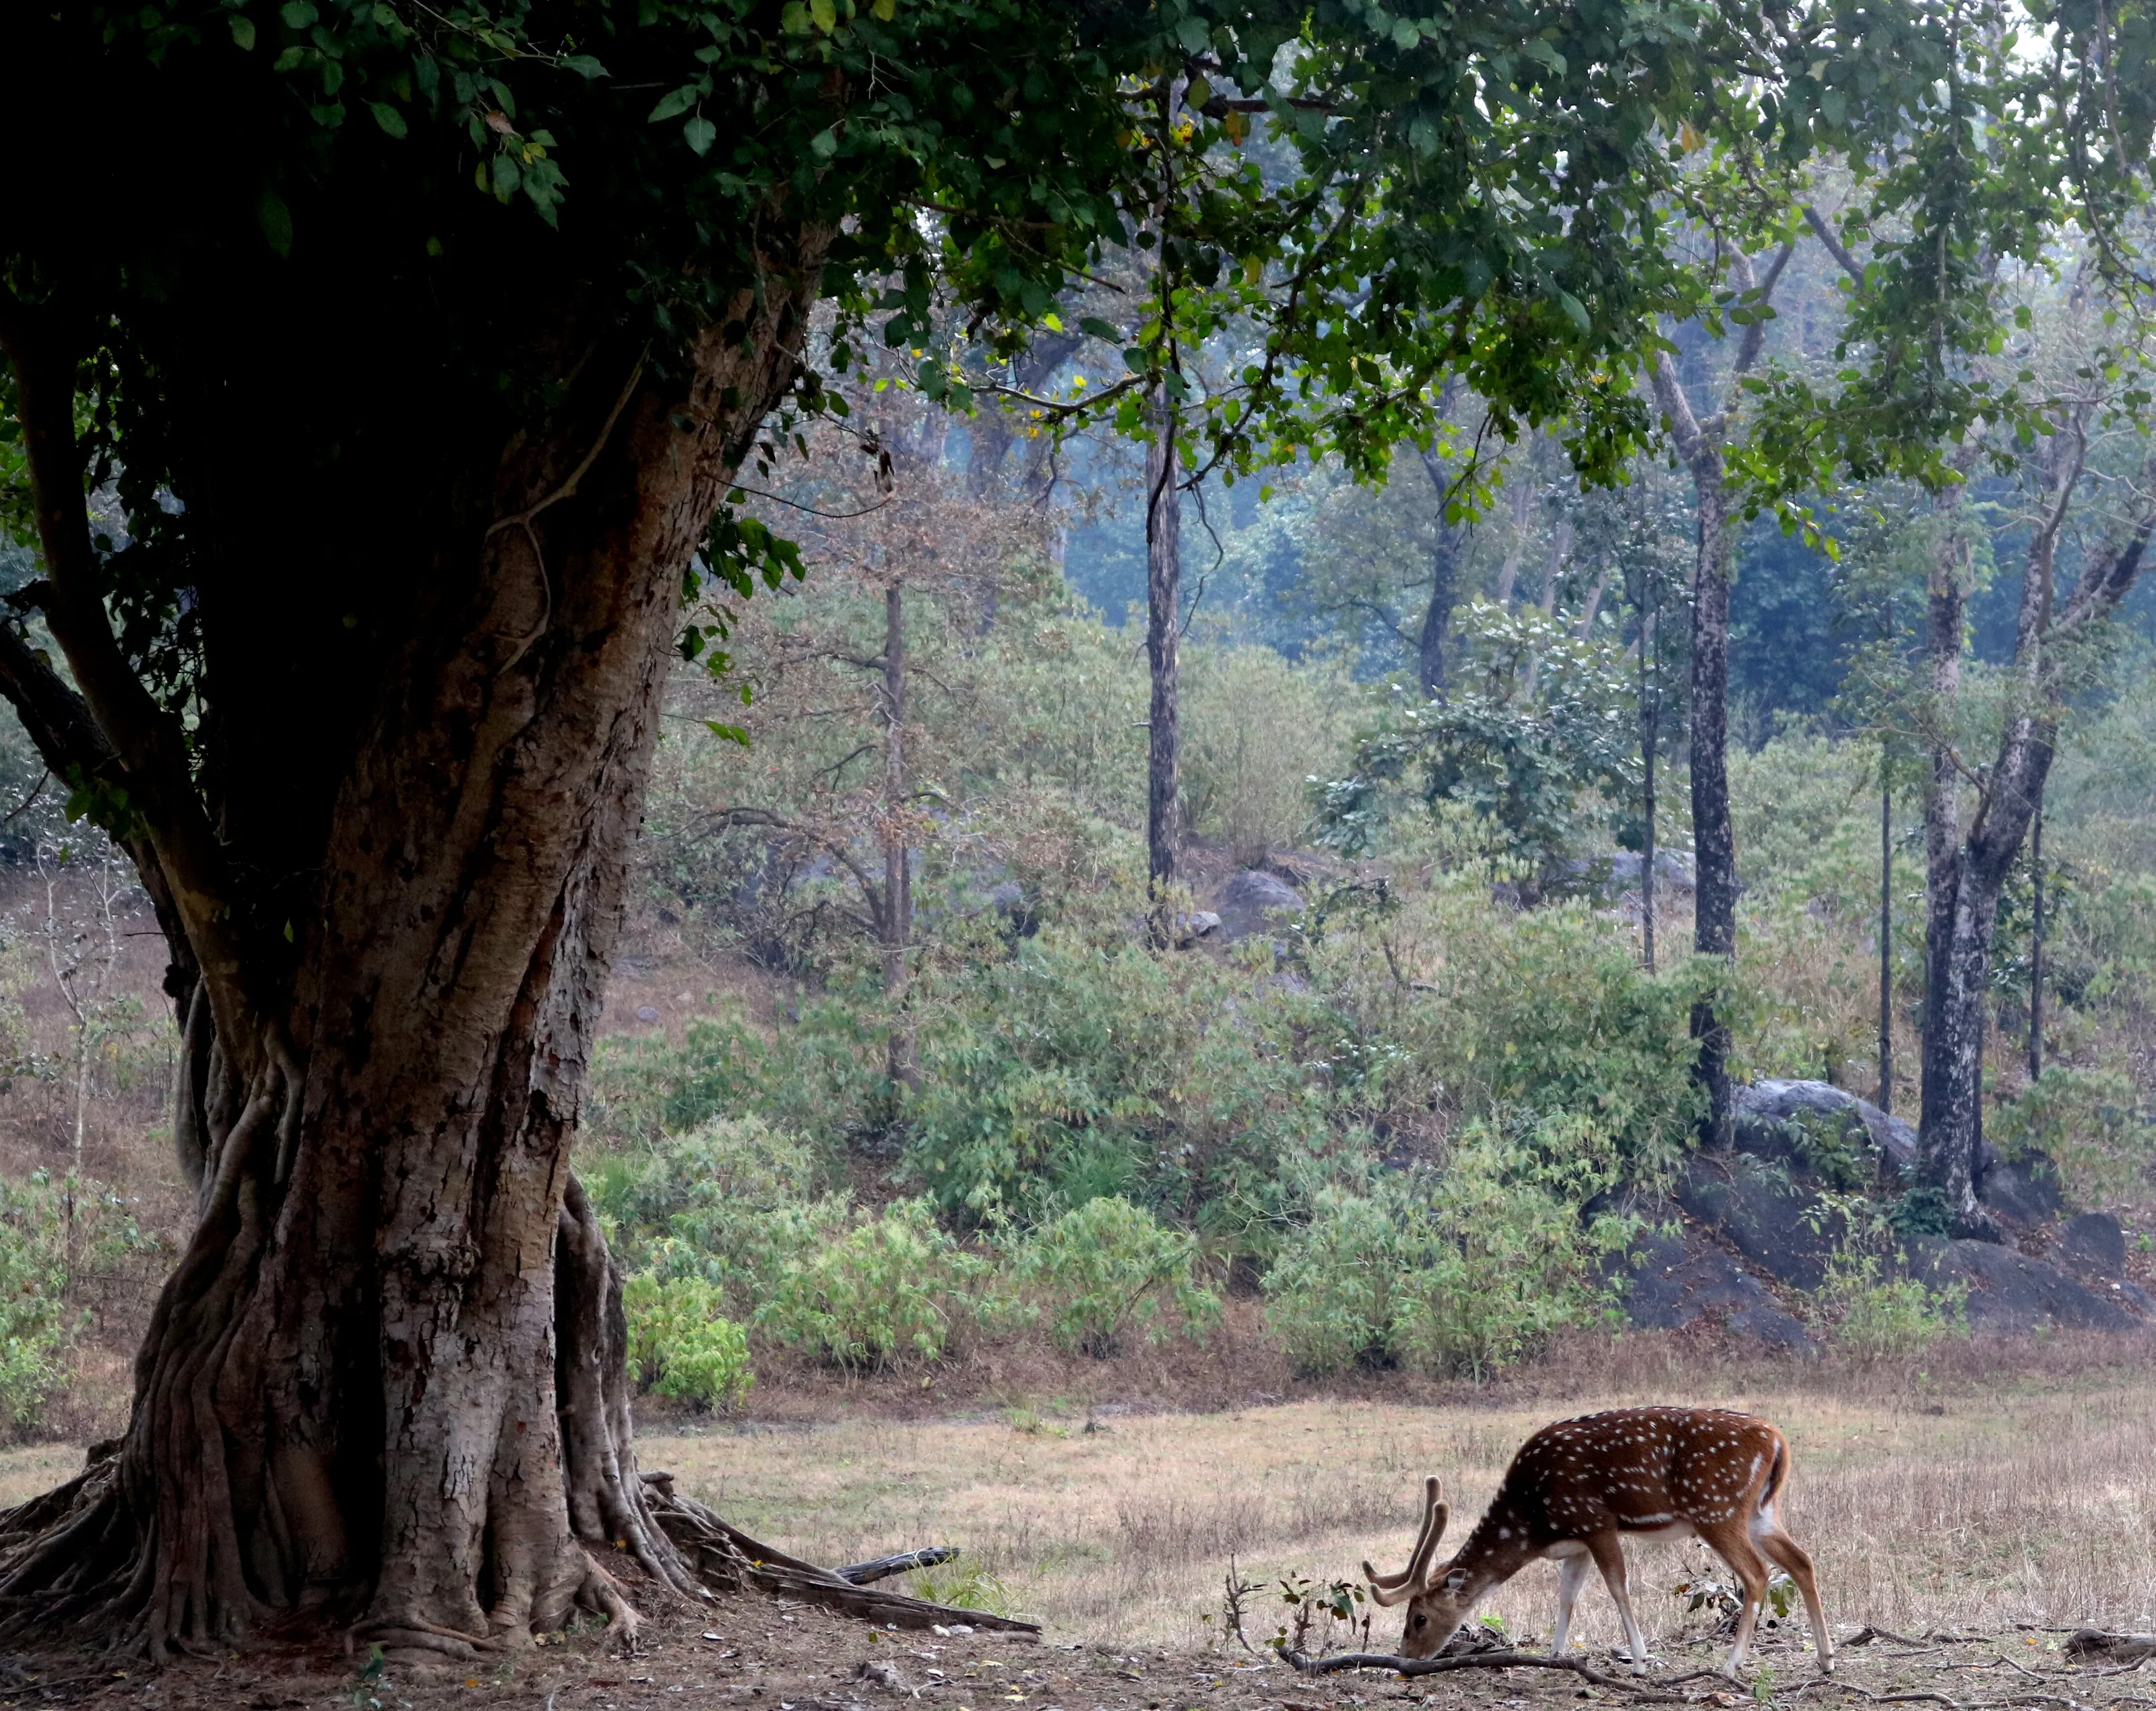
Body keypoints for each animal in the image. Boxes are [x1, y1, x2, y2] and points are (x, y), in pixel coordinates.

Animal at [1363, 1407, 1832, 1680]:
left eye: (1419, 1618)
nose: (1405, 1659)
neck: (1534, 1522)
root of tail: (1778, 1441)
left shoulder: (1596, 1521)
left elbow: (1617, 1586)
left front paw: (1640, 1662)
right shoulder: (1577, 1543)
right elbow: (1568, 1595)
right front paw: (1555, 1656)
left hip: (1717, 1509)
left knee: (1758, 1573)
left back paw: (1731, 1666)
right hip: (1761, 1512)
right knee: (1802, 1561)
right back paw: (1826, 1660)